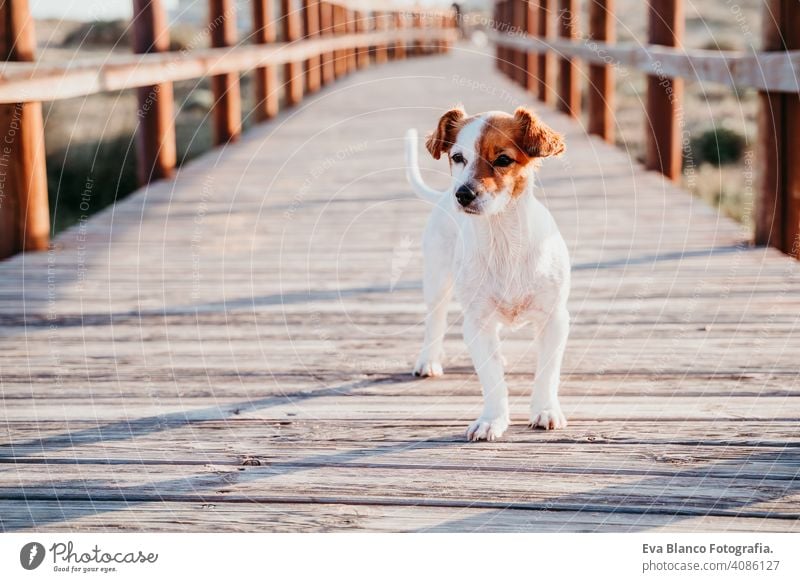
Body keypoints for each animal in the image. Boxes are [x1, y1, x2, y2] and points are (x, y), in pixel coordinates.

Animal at [406, 106, 568, 442]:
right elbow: (491, 377)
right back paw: (428, 360)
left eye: (503, 159)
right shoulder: (477, 323)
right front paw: (492, 420)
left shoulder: (555, 319)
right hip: (437, 282)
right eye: (457, 157)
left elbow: (547, 372)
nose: (462, 194)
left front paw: (545, 410)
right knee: (434, 321)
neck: (503, 239)